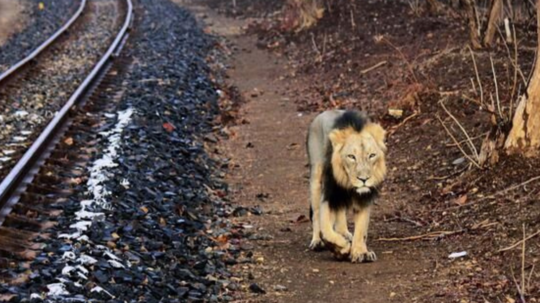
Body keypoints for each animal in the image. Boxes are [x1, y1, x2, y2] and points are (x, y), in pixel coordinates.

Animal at [306, 110, 386, 264]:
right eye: (351, 156)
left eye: (372, 155)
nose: (364, 179)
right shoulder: (329, 196)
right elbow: (326, 230)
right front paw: (342, 249)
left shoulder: (363, 198)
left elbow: (361, 229)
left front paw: (361, 252)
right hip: (316, 177)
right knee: (316, 213)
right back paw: (317, 241)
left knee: (340, 213)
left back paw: (344, 233)